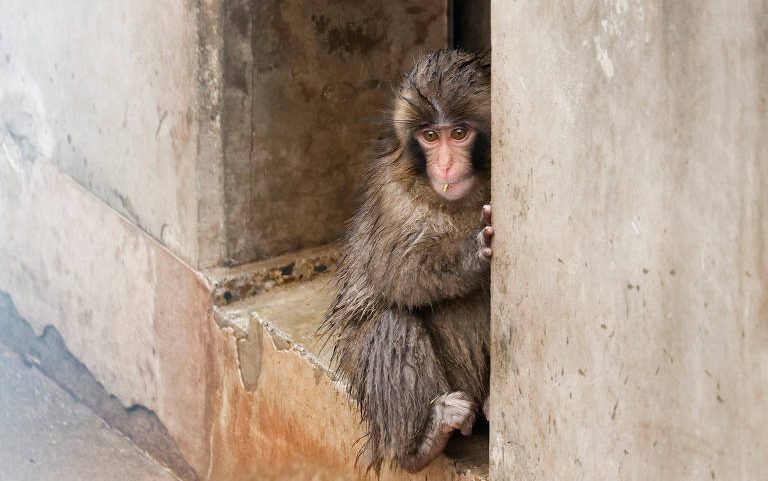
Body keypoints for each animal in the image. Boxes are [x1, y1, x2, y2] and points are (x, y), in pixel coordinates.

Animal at [320, 50, 492, 473]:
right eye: (430, 137)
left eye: (458, 134)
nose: (444, 166)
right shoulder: (391, 193)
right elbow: (396, 272)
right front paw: (473, 254)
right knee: (393, 323)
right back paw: (422, 443)